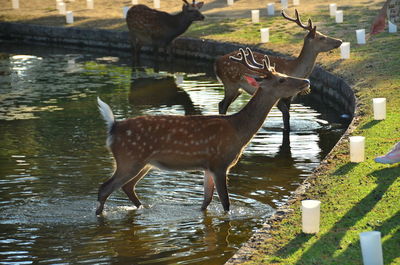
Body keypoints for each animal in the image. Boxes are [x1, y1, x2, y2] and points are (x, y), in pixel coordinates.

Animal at [94, 47, 310, 213]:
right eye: (281, 80)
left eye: (283, 75)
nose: (306, 82)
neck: (239, 131)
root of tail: (113, 127)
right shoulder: (220, 163)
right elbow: (225, 203)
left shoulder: (208, 166)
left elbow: (206, 201)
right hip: (129, 159)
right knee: (104, 188)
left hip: (144, 163)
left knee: (127, 186)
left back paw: (143, 208)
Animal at [214, 9, 342, 131]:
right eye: (322, 37)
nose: (339, 41)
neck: (294, 69)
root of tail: (216, 64)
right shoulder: (279, 96)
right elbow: (286, 115)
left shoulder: (289, 97)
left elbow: (287, 116)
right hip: (230, 84)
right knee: (222, 105)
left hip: (238, 89)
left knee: (221, 103)